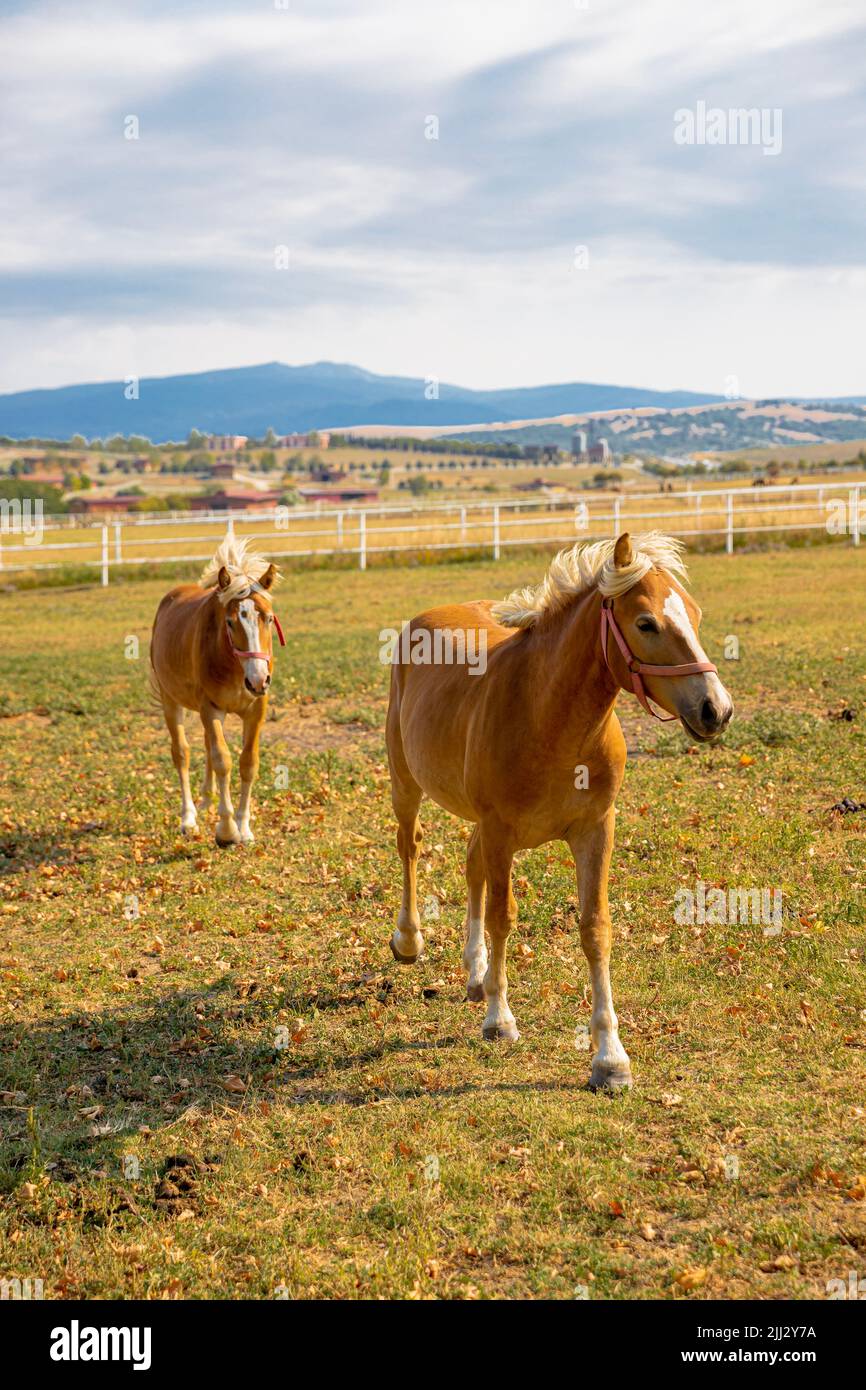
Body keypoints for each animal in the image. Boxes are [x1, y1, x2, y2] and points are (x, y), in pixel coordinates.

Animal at [148, 536, 284, 845]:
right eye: (231, 622)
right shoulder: (212, 708)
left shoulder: (255, 710)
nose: (258, 680)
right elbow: (223, 760)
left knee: (207, 747)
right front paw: (226, 830)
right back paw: (188, 818)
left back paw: (207, 799)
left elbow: (247, 762)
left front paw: (244, 827)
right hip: (171, 701)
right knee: (182, 753)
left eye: (269, 619)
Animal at [386, 530, 733, 1084]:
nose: (715, 710)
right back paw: (410, 941)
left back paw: (475, 973)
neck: (546, 716)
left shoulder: (594, 830)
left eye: (696, 615)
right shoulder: (502, 831)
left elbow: (595, 928)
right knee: (410, 847)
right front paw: (499, 1019)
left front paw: (610, 1057)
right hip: (406, 783)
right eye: (646, 623)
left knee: (470, 865)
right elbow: (503, 916)